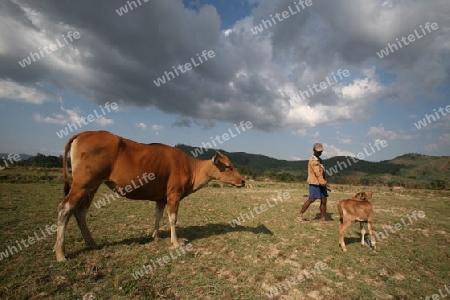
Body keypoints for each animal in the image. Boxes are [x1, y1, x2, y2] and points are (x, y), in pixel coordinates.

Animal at [53, 130, 246, 262]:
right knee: (65, 208)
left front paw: (155, 235)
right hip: (82, 183)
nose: (243, 180)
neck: (190, 168)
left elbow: (158, 215)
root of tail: (85, 133)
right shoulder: (173, 194)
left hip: (92, 185)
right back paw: (61, 253)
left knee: (80, 211)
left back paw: (92, 243)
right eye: (228, 166)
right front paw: (175, 242)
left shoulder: (161, 198)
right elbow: (172, 218)